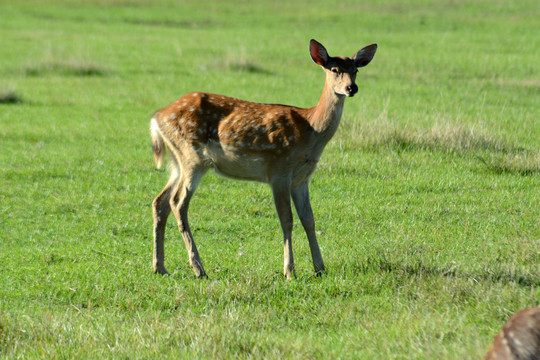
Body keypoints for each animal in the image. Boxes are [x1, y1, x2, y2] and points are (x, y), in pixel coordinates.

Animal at [150, 38, 378, 278]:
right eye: (334, 69)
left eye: (355, 70)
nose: (351, 88)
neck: (311, 129)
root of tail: (157, 117)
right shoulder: (279, 169)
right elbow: (287, 219)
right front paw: (289, 271)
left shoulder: (302, 178)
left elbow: (309, 219)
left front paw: (320, 268)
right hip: (192, 156)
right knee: (178, 203)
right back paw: (198, 268)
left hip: (178, 161)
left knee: (160, 201)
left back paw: (160, 267)